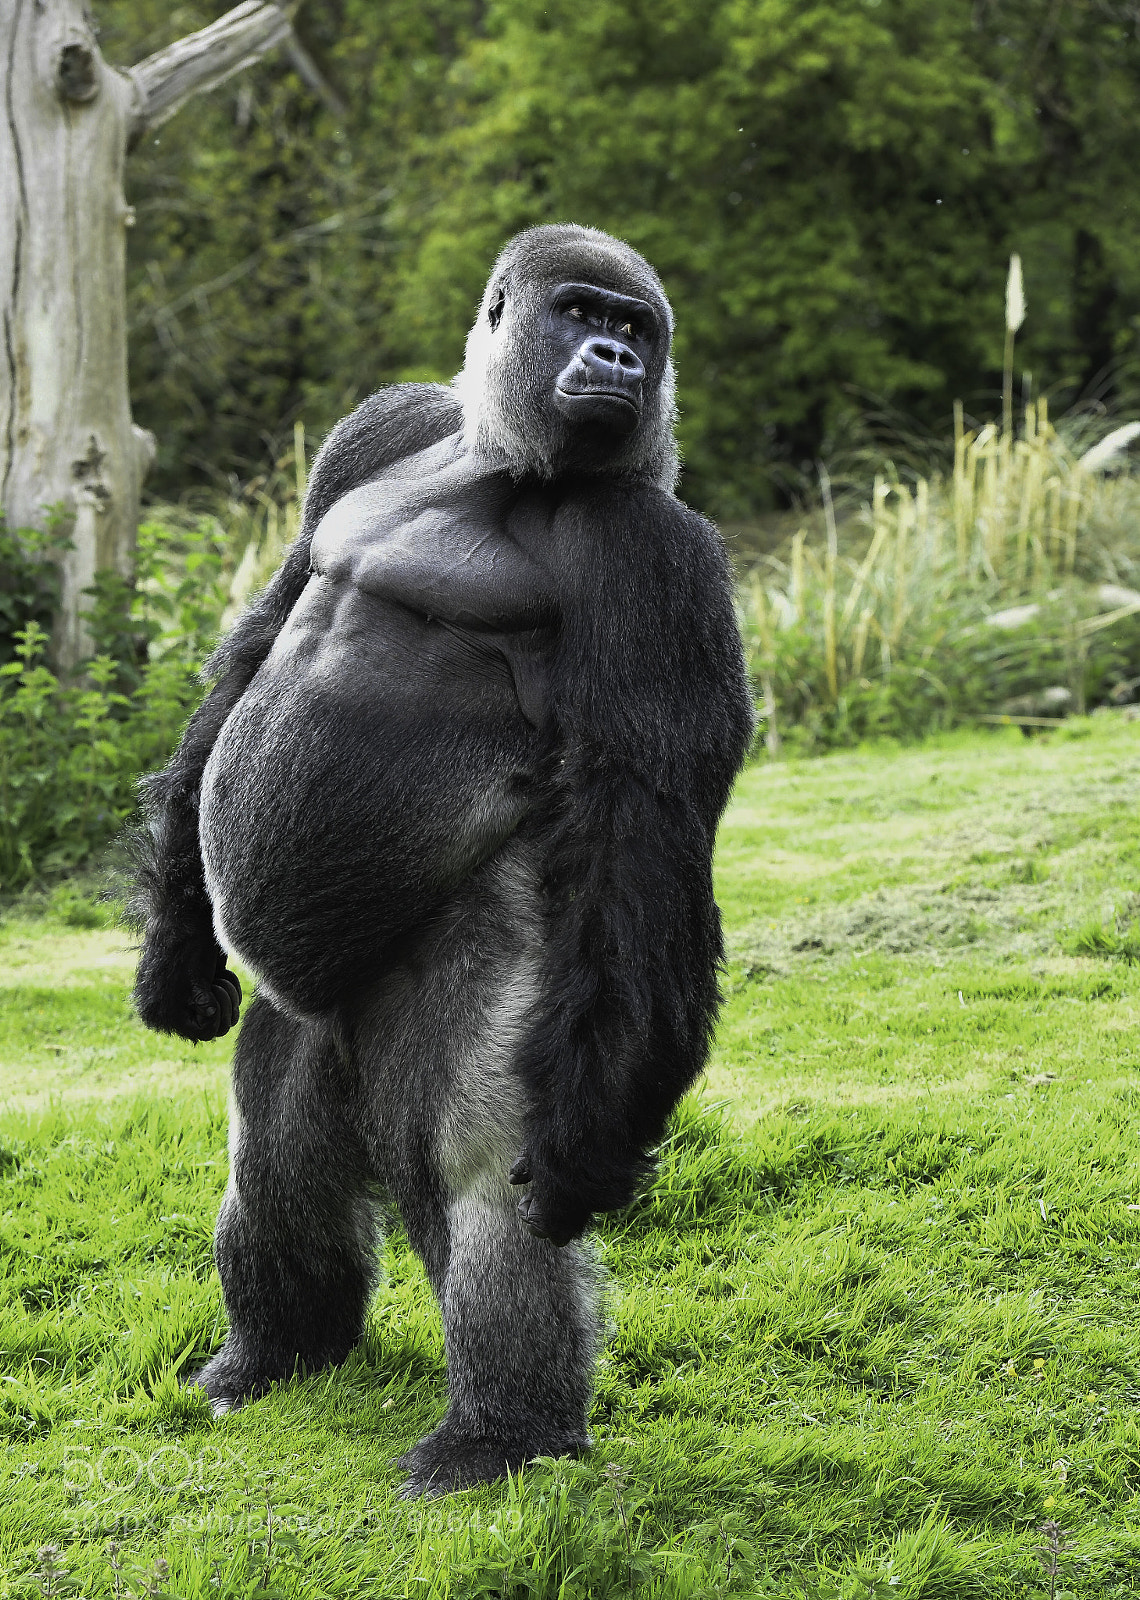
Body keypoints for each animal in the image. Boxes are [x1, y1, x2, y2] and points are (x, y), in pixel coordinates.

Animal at [129, 223, 754, 1496]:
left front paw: (586, 1152)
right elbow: (259, 635)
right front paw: (174, 949)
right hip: (307, 1021)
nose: (620, 358)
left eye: (638, 327)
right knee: (273, 1156)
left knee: (474, 1170)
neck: (490, 460)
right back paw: (273, 1352)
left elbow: (643, 821)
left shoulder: (652, 551)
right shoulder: (377, 430)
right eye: (581, 314)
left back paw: (497, 1434)